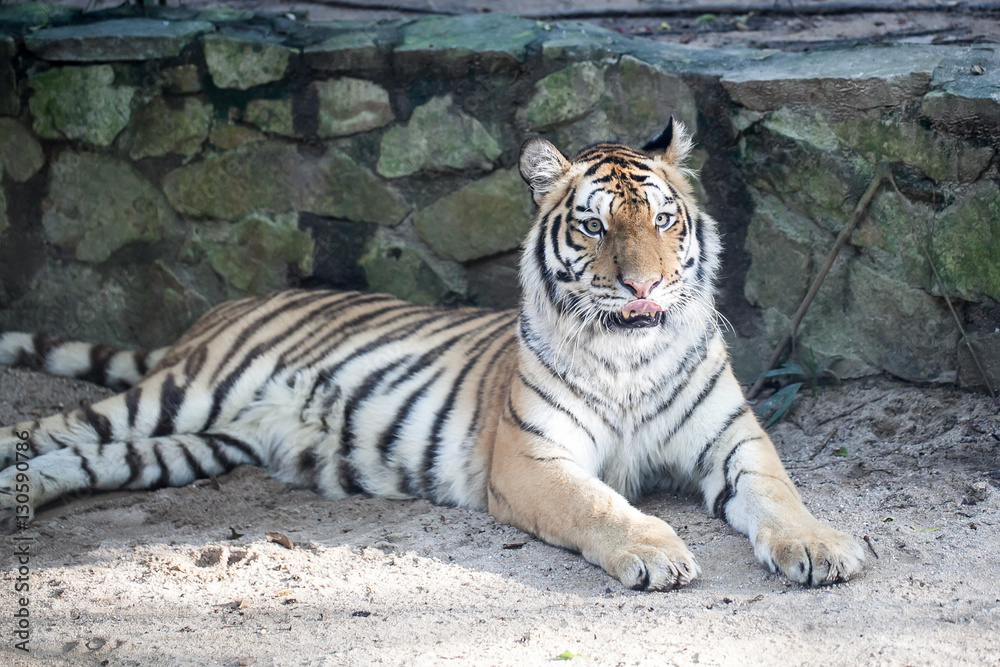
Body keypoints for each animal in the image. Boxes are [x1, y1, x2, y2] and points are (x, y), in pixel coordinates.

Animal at [0, 121, 864, 588]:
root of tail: (222, 308)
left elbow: (781, 496)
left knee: (80, 459)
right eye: (593, 225)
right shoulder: (534, 461)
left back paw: (25, 497)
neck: (631, 358)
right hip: (179, 396)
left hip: (195, 444)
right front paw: (655, 551)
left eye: (662, 218)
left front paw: (822, 547)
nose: (644, 284)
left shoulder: (734, 440)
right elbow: (601, 505)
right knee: (41, 432)